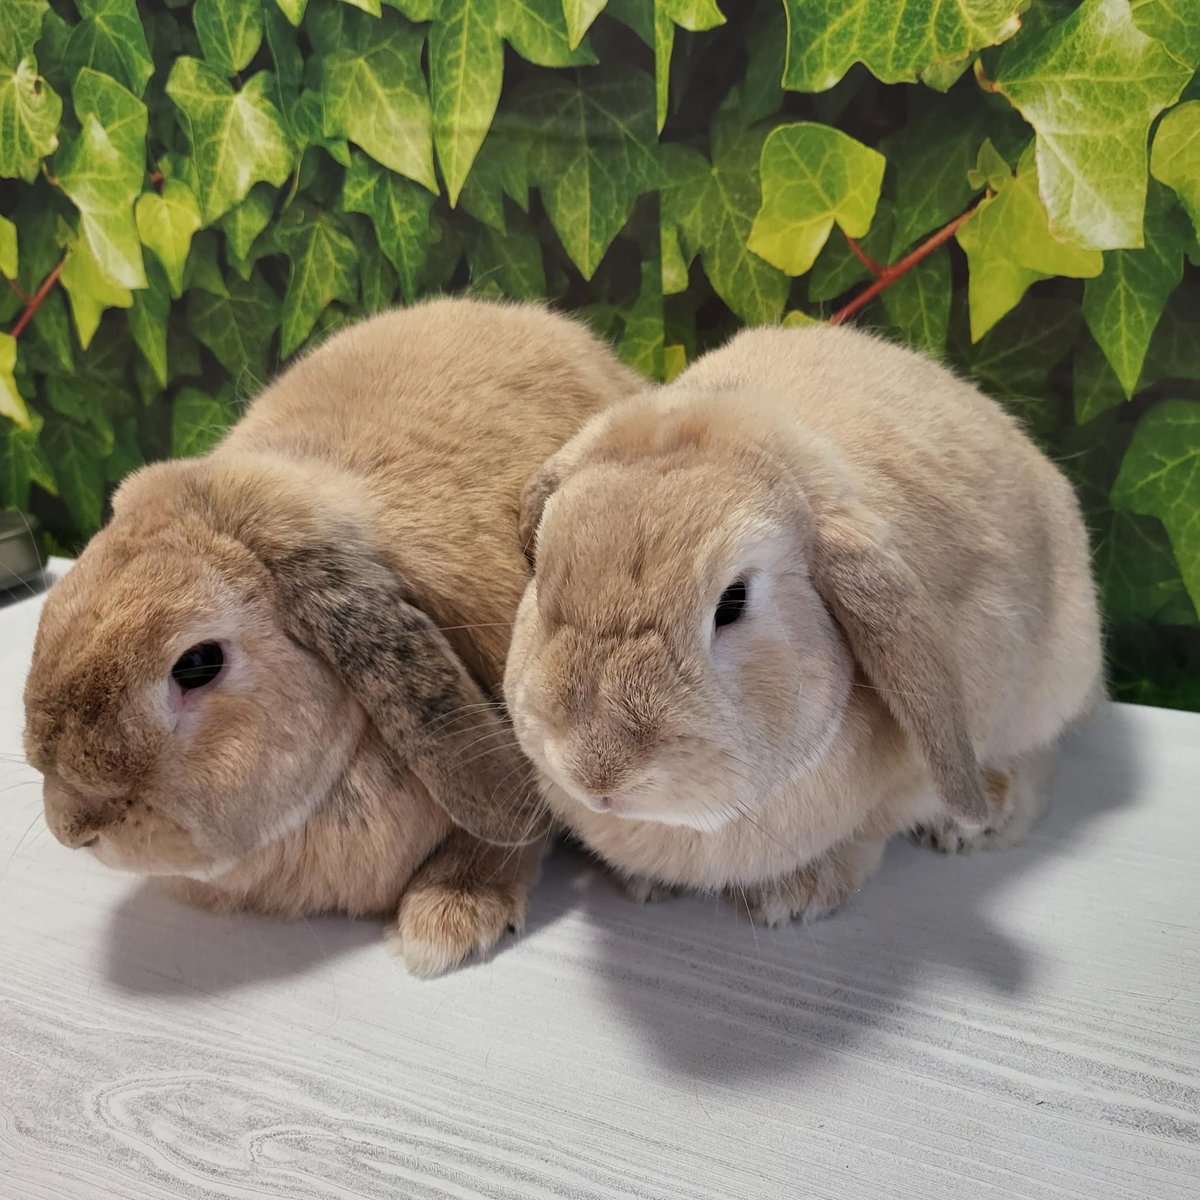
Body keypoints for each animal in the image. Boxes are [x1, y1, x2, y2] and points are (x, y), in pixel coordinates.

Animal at [503, 323, 1104, 925]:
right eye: (542, 572)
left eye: (732, 603)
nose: (598, 773)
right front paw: (644, 884)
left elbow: (863, 837)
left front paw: (792, 900)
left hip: (1053, 678)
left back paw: (977, 824)